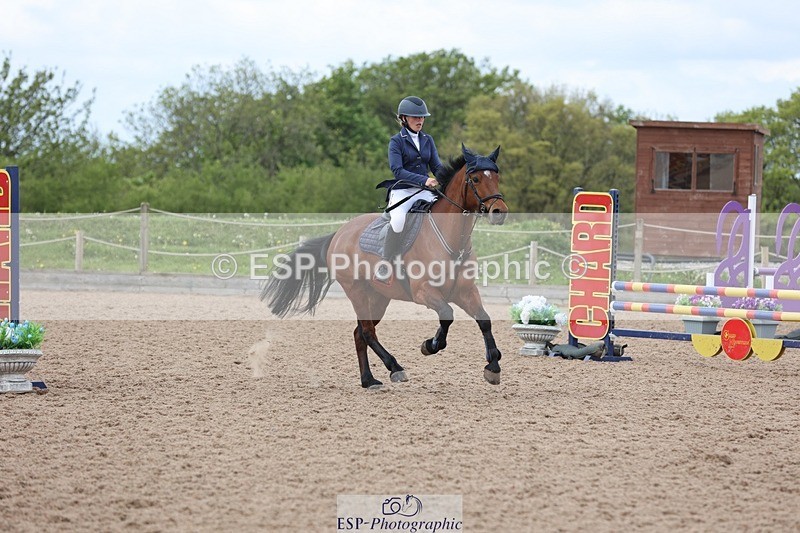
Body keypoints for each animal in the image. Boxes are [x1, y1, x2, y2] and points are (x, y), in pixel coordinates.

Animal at [261, 144, 509, 388]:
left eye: (497, 177)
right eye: (475, 179)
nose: (500, 212)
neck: (451, 241)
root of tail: (339, 233)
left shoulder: (464, 291)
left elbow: (484, 320)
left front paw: (493, 366)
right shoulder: (424, 292)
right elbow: (447, 315)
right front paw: (430, 345)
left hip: (379, 297)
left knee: (359, 333)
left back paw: (368, 380)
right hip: (357, 291)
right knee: (367, 332)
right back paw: (394, 367)